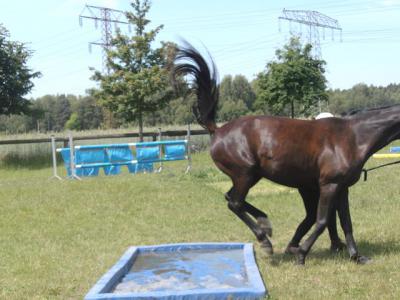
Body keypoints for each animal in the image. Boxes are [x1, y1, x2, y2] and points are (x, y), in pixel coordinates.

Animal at [171, 42, 400, 264]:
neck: (351, 136)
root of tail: (217, 130)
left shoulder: (342, 188)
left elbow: (346, 222)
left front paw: (356, 257)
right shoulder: (329, 185)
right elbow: (323, 220)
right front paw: (302, 254)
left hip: (249, 176)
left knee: (231, 198)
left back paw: (265, 224)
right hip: (246, 174)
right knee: (234, 203)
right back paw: (265, 240)